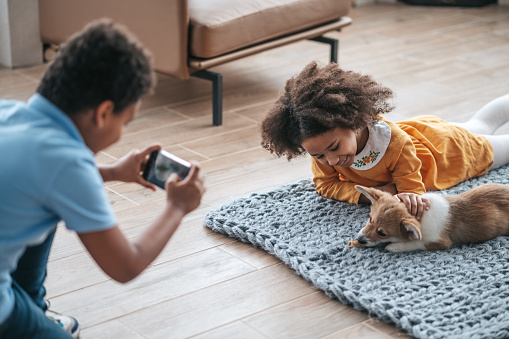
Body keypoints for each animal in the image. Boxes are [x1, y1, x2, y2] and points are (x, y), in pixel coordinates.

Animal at [350, 183, 509, 252]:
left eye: (382, 233)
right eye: (370, 219)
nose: (359, 240)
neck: (420, 216)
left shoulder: (439, 242)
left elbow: (416, 243)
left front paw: (394, 246)